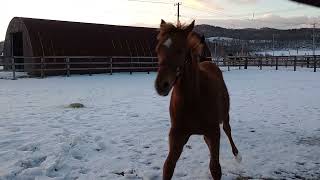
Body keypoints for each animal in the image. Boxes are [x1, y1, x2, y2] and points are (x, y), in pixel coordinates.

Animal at [154, 19, 240, 179]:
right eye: (158, 50)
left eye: (180, 50)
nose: (161, 85)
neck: (193, 100)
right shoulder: (177, 135)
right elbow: (168, 167)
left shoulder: (214, 133)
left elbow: (215, 168)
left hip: (225, 115)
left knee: (227, 129)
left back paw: (237, 155)